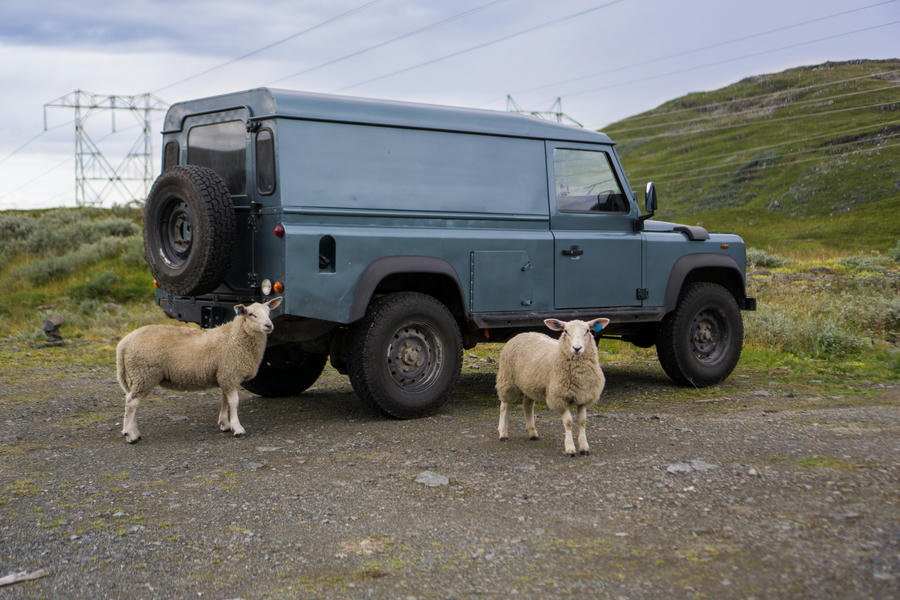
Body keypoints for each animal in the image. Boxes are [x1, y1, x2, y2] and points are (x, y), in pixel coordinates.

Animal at [115, 298, 282, 442]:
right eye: (251, 314)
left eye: (269, 312)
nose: (269, 326)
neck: (234, 337)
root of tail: (124, 342)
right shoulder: (229, 373)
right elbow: (234, 402)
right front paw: (238, 428)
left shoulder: (224, 375)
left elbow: (225, 400)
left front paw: (224, 424)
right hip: (144, 374)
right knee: (132, 402)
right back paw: (131, 435)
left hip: (138, 376)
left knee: (130, 400)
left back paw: (131, 431)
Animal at [492, 318, 612, 454]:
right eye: (565, 331)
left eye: (587, 331)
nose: (577, 348)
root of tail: (524, 333)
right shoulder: (559, 398)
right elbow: (568, 422)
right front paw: (570, 448)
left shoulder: (583, 397)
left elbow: (582, 422)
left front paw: (584, 447)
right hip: (507, 380)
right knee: (505, 406)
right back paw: (503, 433)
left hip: (530, 384)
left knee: (527, 405)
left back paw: (532, 433)